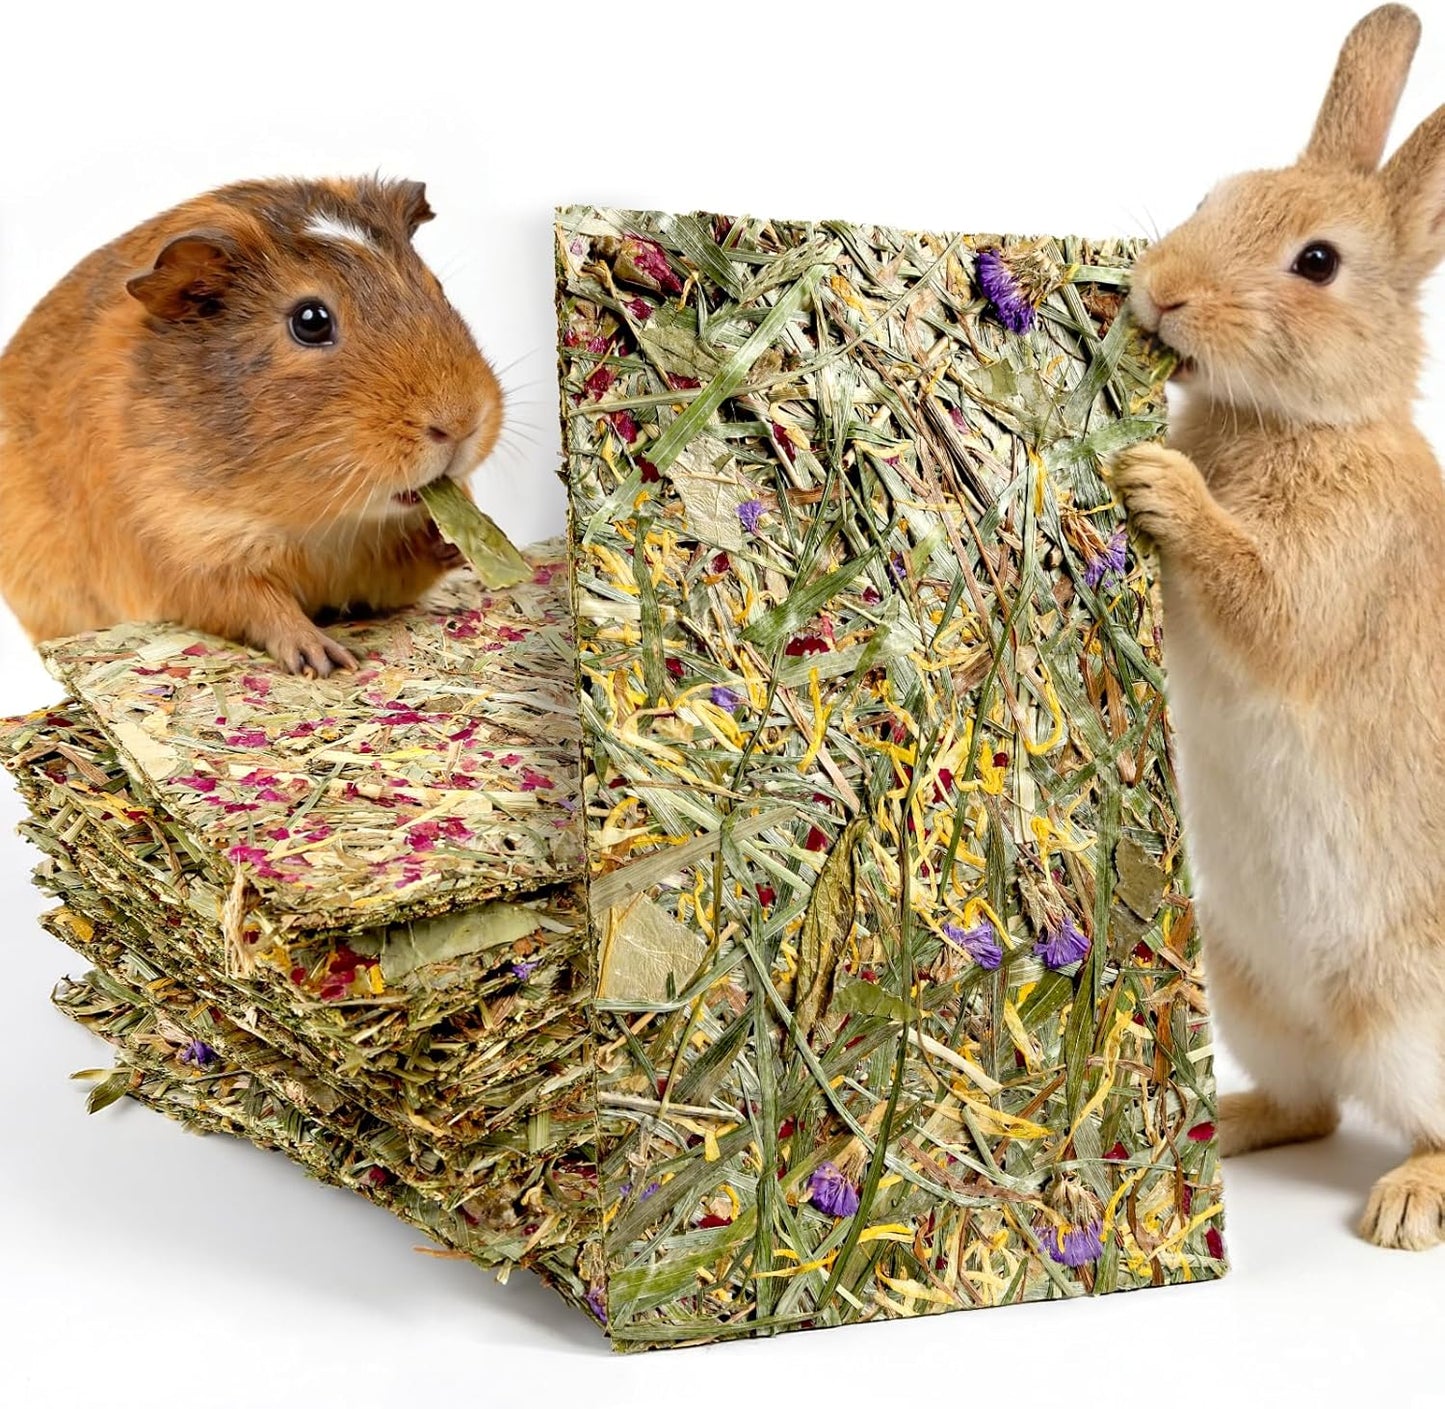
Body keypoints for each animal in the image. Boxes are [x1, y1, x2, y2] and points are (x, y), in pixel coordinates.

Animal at [0, 176, 502, 675]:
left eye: (435, 286)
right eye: (311, 321)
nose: (461, 424)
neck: (322, 526)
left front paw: (458, 537)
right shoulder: (187, 553)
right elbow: (260, 604)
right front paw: (325, 660)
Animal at [1113, 3, 1445, 1249]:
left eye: (1315, 262)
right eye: (1216, 192)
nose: (1158, 291)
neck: (1302, 418)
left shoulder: (1324, 575)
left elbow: (1255, 595)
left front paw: (1156, 484)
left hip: (1413, 1019)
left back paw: (1404, 1203)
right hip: (1243, 983)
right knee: (1309, 1103)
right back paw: (1227, 1122)